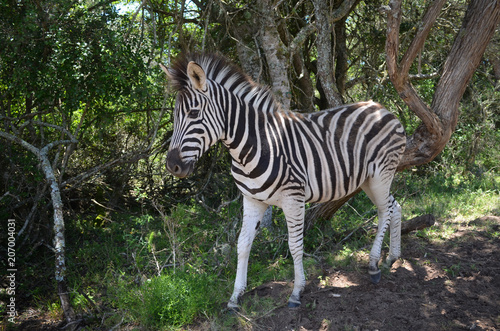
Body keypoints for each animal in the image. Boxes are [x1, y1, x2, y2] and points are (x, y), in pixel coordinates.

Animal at [160, 53, 406, 310]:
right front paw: (236, 296)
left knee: (384, 211)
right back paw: (392, 256)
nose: (172, 166)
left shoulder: (293, 199)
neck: (255, 145)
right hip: (369, 180)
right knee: (394, 206)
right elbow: (242, 244)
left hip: (380, 174)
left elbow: (295, 246)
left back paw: (374, 265)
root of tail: (383, 108)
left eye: (193, 113)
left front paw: (296, 292)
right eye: (175, 116)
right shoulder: (252, 199)